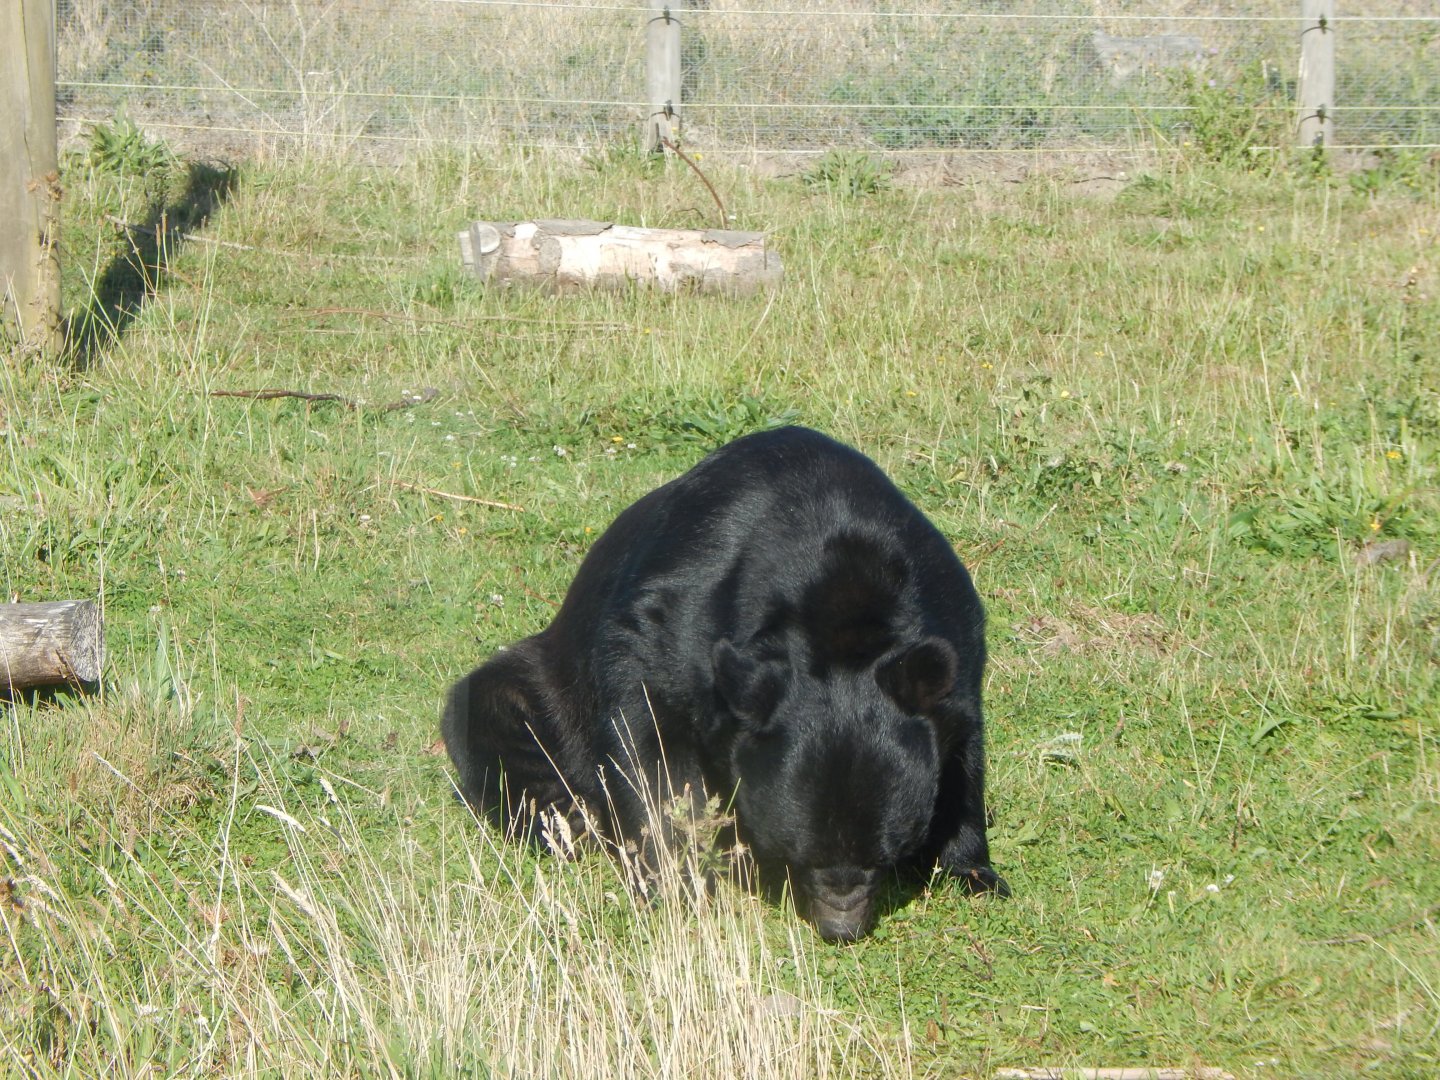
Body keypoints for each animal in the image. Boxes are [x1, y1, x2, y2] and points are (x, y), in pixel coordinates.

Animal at [442, 425, 1006, 941]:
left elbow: (963, 749)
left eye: (884, 854)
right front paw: (678, 878)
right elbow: (648, 737)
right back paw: (570, 821)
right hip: (543, 690)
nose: (840, 928)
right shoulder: (674, 616)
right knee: (493, 717)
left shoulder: (953, 626)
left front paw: (973, 870)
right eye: (796, 852)